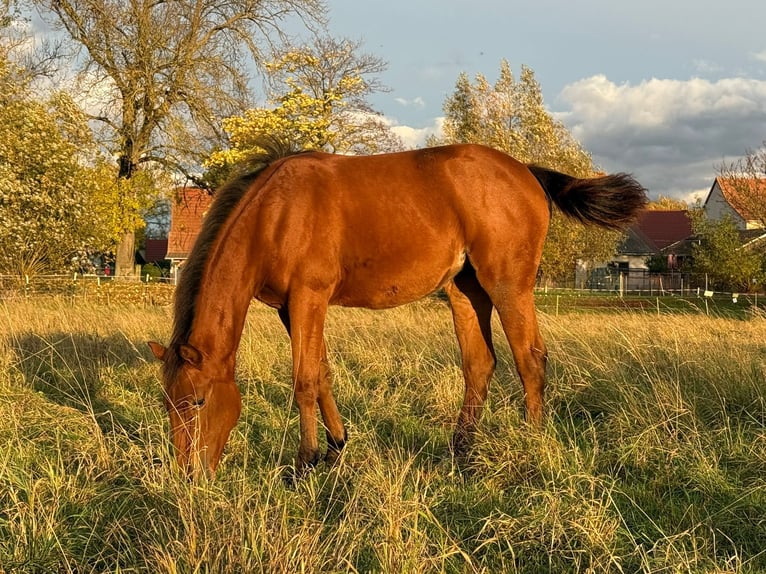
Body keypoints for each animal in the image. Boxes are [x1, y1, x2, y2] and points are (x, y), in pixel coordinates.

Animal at [148, 141, 647, 479]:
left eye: (197, 401)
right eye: (167, 403)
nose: (188, 475)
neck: (276, 212)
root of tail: (525, 170)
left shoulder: (309, 298)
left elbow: (304, 379)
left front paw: (305, 462)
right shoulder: (291, 310)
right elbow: (322, 372)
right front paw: (336, 446)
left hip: (507, 287)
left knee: (530, 360)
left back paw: (532, 443)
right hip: (465, 291)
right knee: (480, 364)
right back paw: (459, 451)